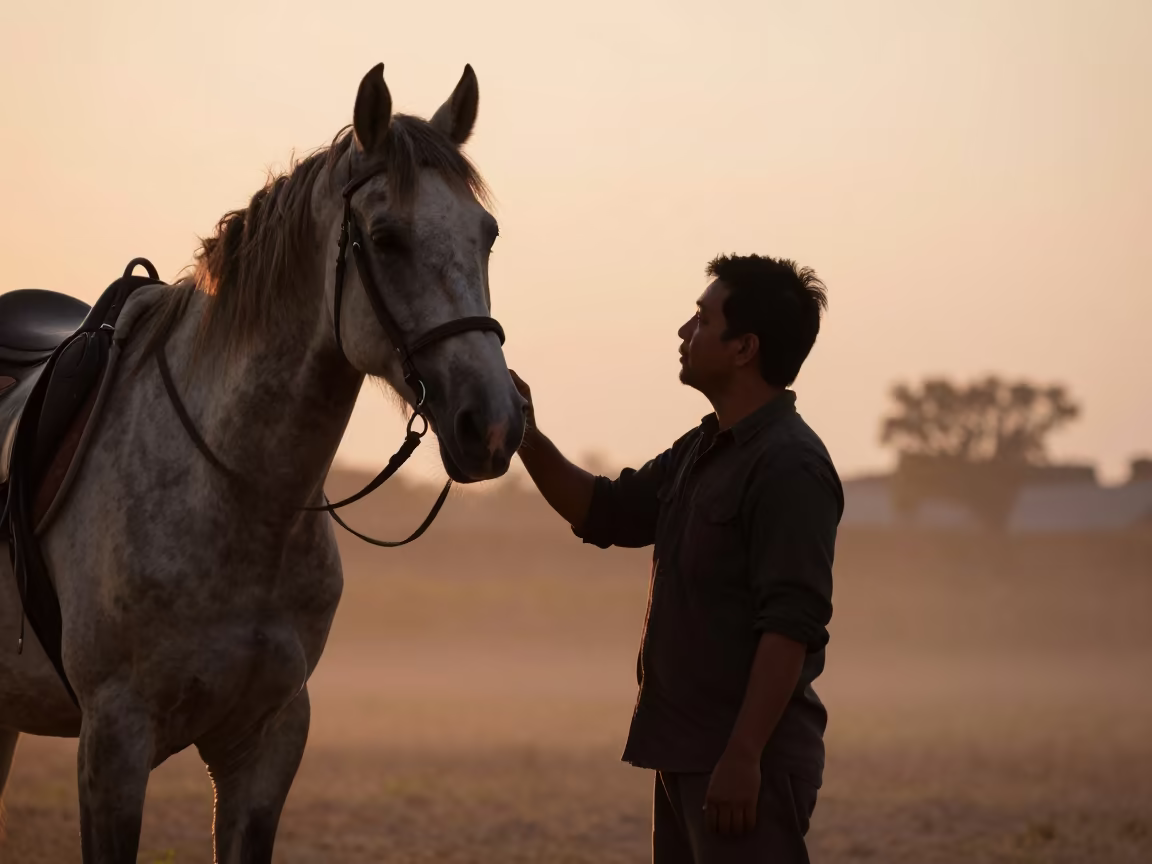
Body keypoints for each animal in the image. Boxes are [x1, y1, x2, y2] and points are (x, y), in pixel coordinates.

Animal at [0, 62, 525, 863]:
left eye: (486, 235)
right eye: (385, 237)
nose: (493, 424)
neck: (238, 497)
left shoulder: (267, 742)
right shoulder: (113, 743)